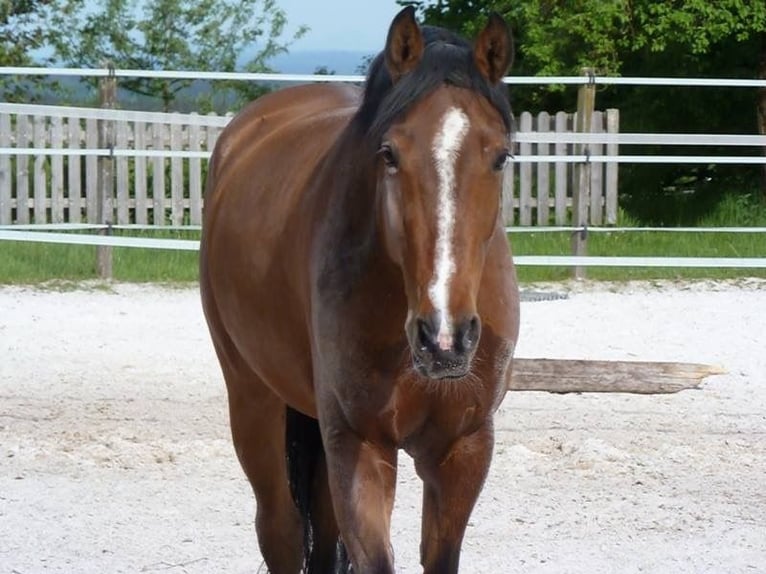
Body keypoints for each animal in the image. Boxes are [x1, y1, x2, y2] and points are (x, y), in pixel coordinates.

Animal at [200, 5, 520, 574]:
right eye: (389, 153)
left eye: (501, 157)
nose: (444, 338)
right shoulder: (362, 446)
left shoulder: (464, 449)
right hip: (252, 398)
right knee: (280, 529)